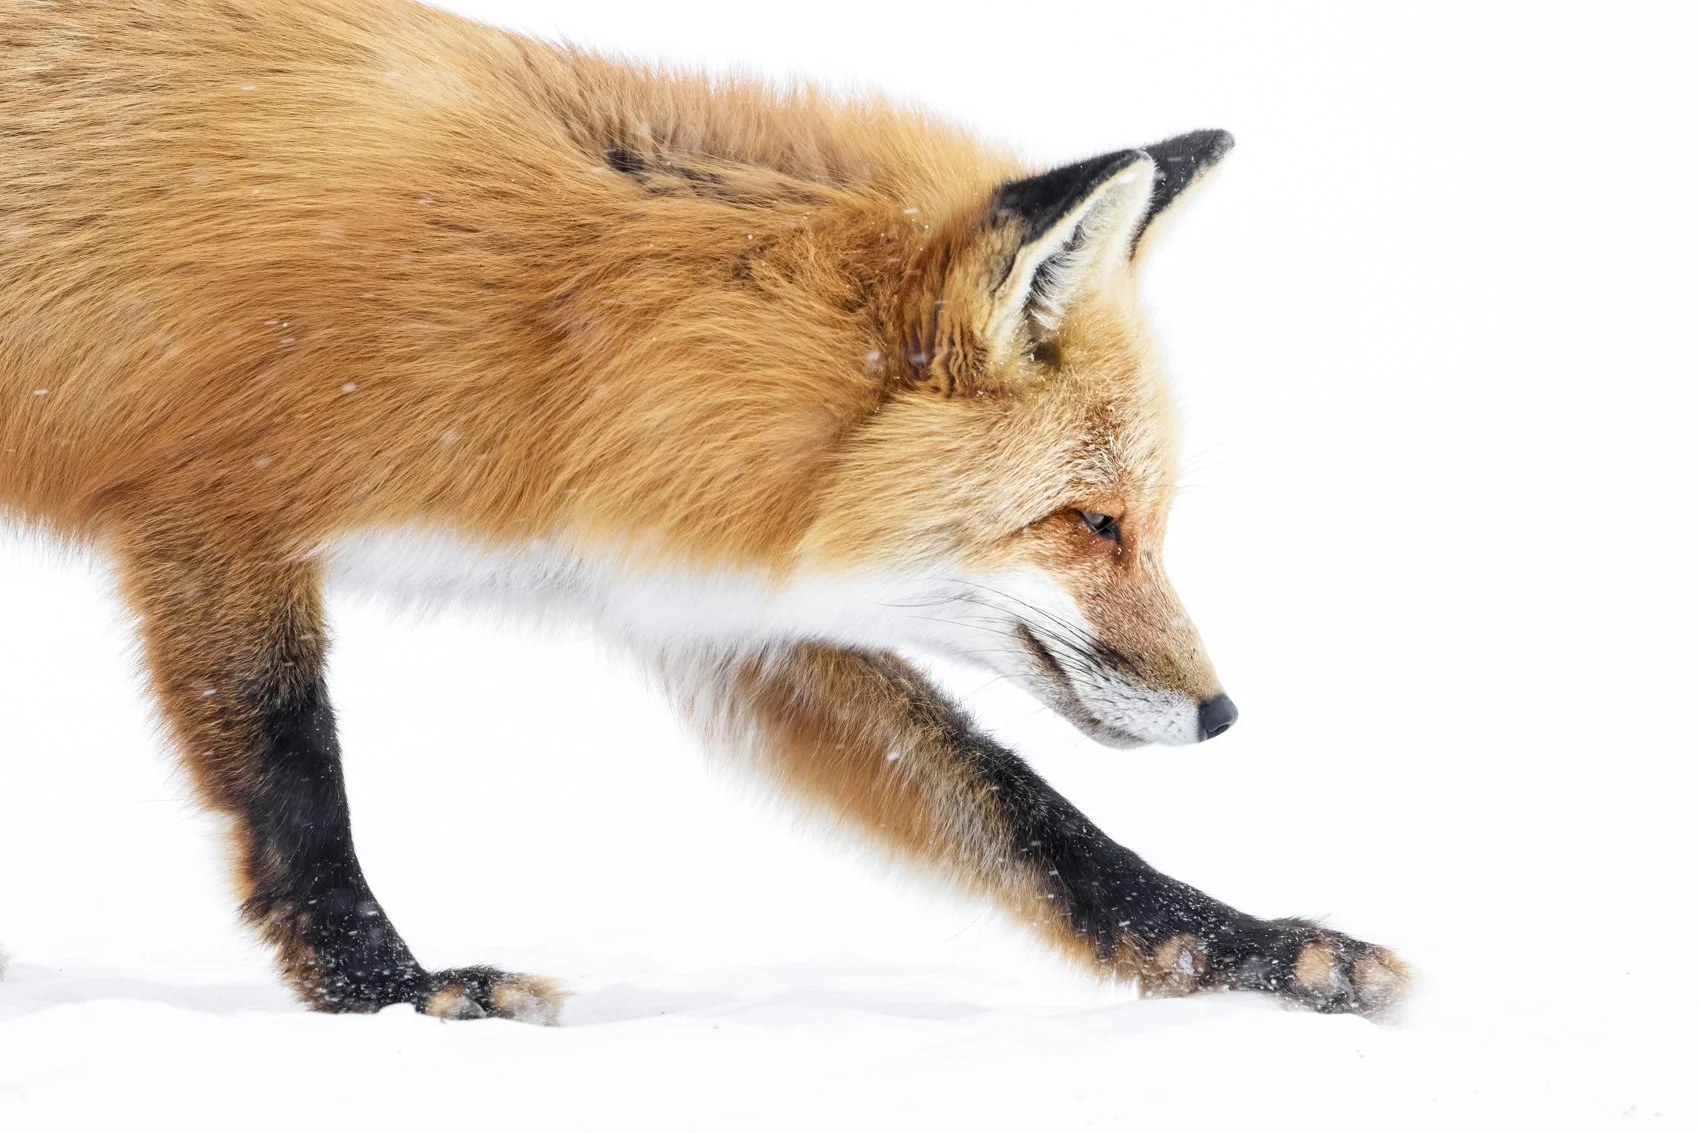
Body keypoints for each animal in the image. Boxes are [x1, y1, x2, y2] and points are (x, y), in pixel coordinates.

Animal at [0, 0, 1408, 1024]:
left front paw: (1248, 950)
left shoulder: (705, 602)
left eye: (1145, 518)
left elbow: (1013, 806)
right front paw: (387, 991)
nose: (1221, 713)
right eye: (1092, 520)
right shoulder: (210, 518)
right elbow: (298, 776)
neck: (563, 336)